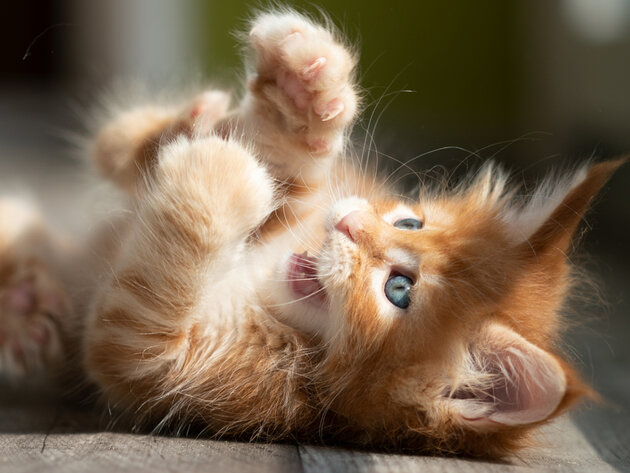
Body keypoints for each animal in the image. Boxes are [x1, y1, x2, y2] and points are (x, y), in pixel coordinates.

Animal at [0, 8, 628, 458]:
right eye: (409, 221)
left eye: (399, 291)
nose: (349, 223)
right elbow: (276, 171)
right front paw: (301, 97)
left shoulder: (168, 368)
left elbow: (140, 307)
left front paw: (221, 174)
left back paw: (26, 307)